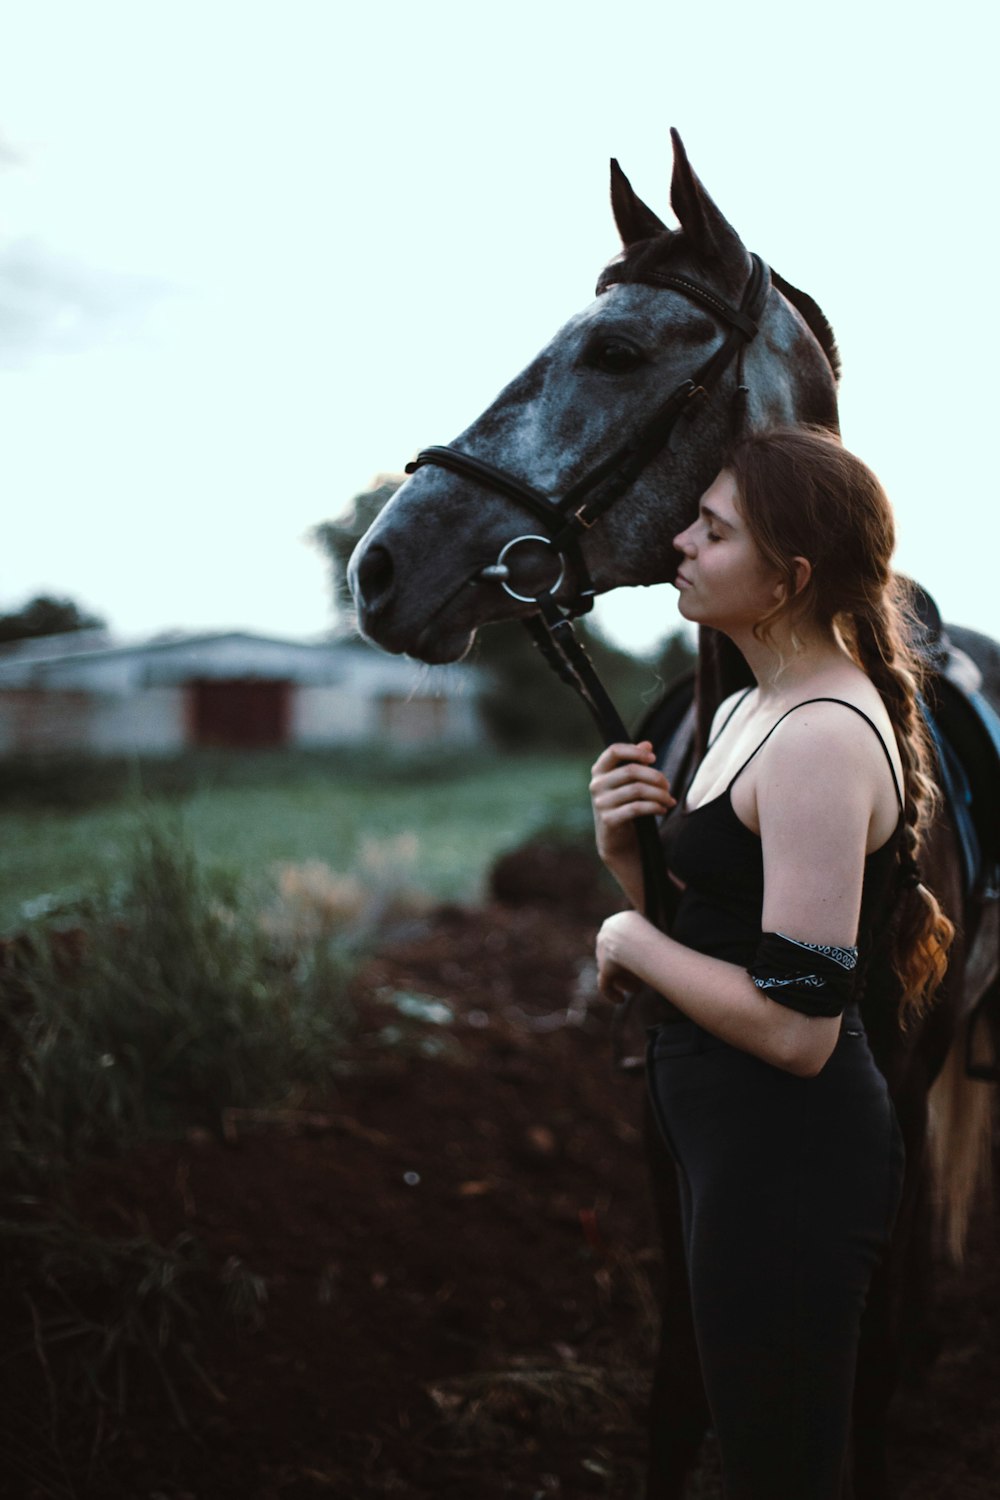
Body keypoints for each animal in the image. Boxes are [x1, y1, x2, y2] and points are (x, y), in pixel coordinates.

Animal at [350, 129, 1000, 1500]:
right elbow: (676, 1370)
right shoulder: (658, 1112)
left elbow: (853, 1365)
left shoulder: (892, 1084)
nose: (376, 568)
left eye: (613, 352)